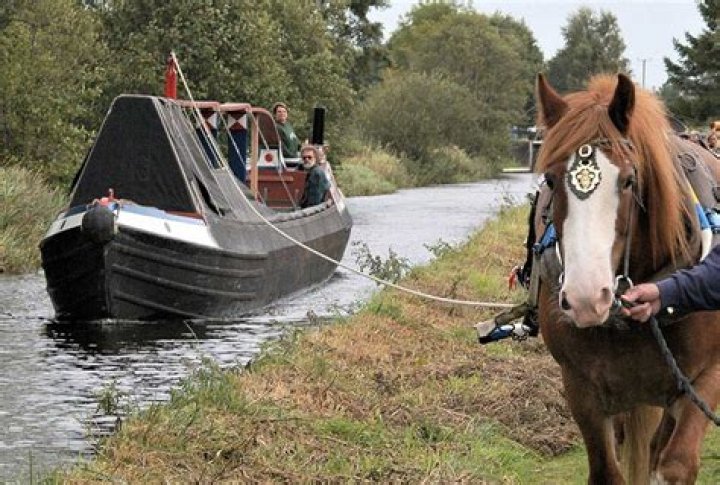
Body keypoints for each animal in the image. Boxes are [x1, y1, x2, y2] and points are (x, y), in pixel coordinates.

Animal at [534, 73, 720, 484]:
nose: (587, 298)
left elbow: (675, 465)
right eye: (551, 181)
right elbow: (608, 471)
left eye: (629, 181)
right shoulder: (581, 388)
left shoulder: (707, 377)